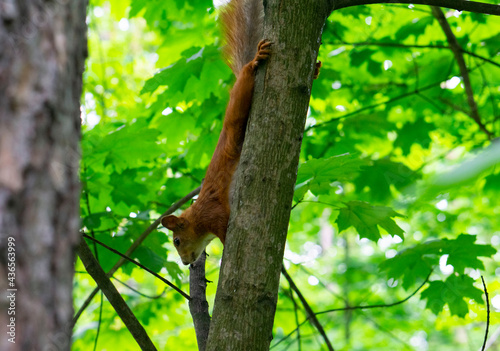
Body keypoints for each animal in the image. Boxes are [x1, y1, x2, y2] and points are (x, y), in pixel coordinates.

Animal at [160, 0, 270, 264]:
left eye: (177, 241)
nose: (186, 262)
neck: (197, 217)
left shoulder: (215, 214)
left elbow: (225, 230)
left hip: (236, 112)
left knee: (245, 81)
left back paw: (254, 62)